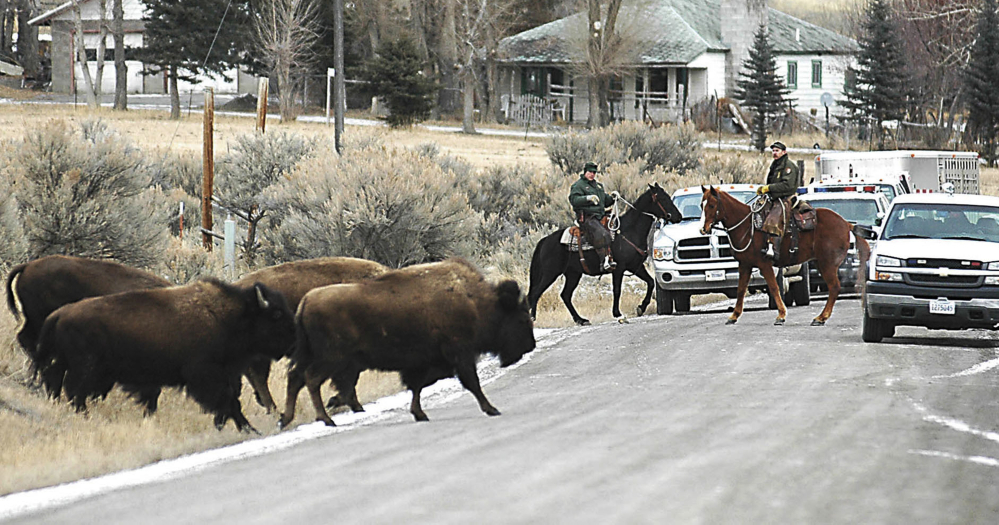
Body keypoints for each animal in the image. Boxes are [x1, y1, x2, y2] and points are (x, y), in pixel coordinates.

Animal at [39, 278, 296, 430]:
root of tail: (60, 314)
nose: (293, 343)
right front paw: (249, 429)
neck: (230, 316)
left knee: (59, 387)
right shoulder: (206, 376)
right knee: (74, 392)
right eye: (276, 315)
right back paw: (84, 417)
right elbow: (229, 402)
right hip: (86, 369)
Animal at [278, 256, 536, 428]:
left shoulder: (425, 363)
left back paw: (287, 418)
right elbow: (471, 383)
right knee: (310, 380)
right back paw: (326, 419)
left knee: (296, 378)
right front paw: (492, 409)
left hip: (315, 357)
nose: (530, 346)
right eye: (523, 319)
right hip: (331, 359)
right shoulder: (460, 355)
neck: (474, 301)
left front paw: (419, 414)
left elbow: (417, 387)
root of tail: (306, 302)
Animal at [700, 184, 872, 324]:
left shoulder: (764, 264)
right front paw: (734, 316)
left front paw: (781, 315)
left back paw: (820, 318)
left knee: (834, 287)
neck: (747, 226)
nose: (703, 229)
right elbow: (741, 289)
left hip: (827, 264)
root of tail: (847, 224)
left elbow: (774, 287)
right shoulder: (745, 264)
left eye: (712, 205)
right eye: (701, 205)